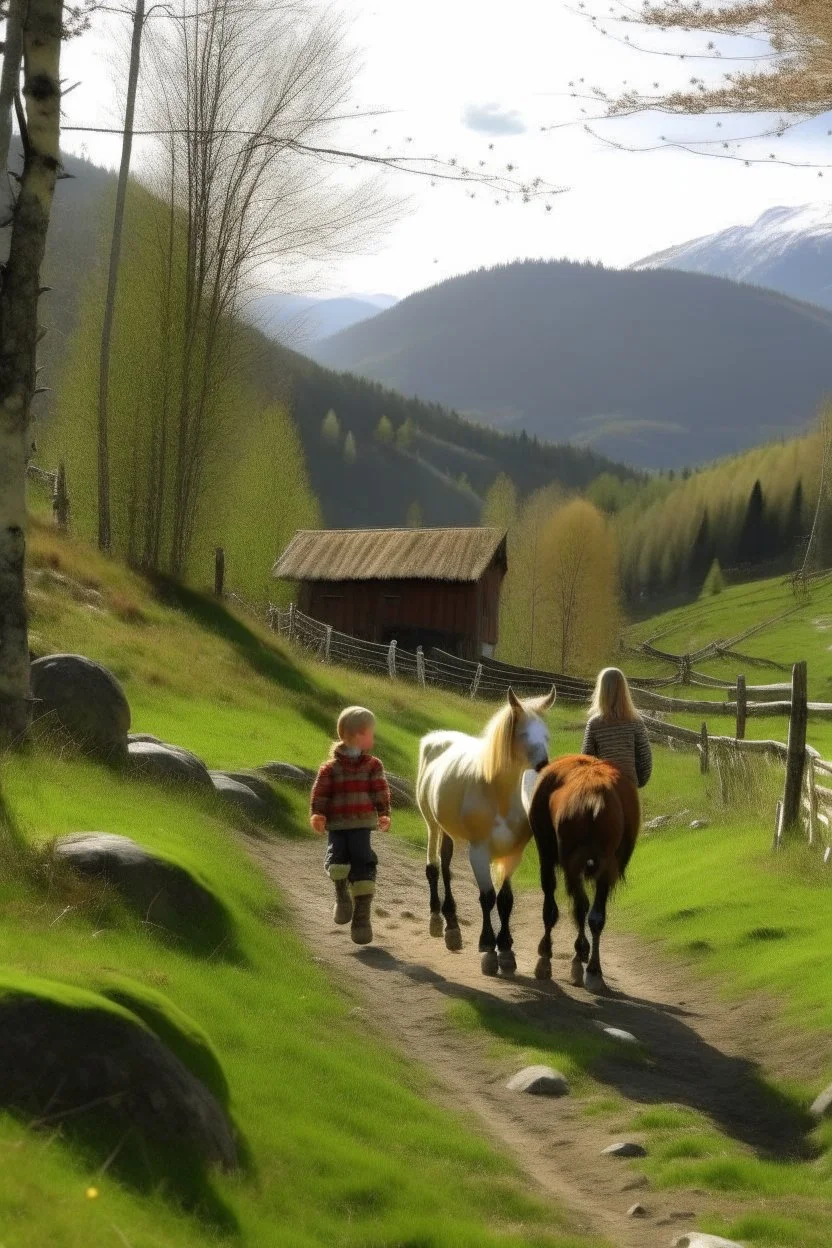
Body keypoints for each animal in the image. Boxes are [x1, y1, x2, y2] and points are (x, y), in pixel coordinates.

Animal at [416, 693, 558, 973]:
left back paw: (452, 926)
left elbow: (505, 900)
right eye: (523, 734)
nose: (543, 765)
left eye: (546, 735)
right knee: (434, 868)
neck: (498, 795)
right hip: (432, 825)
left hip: (448, 831)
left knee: (446, 867)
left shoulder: (513, 854)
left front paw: (506, 950)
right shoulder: (479, 853)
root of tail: (435, 739)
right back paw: (437, 919)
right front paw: (488, 948)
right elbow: (487, 898)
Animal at [526, 753, 638, 988]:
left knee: (577, 906)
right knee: (596, 915)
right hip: (606, 865)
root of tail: (596, 796)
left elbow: (551, 905)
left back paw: (574, 959)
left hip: (571, 861)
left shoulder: (547, 854)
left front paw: (546, 955)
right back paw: (594, 969)